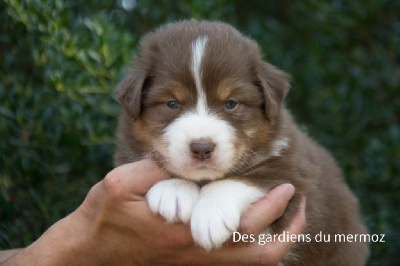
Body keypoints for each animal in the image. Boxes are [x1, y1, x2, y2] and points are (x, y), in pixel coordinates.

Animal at [114, 19, 370, 264]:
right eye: (172, 104)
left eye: (231, 103)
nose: (202, 148)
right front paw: (174, 192)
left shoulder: (294, 174)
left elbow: (245, 179)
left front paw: (211, 216)